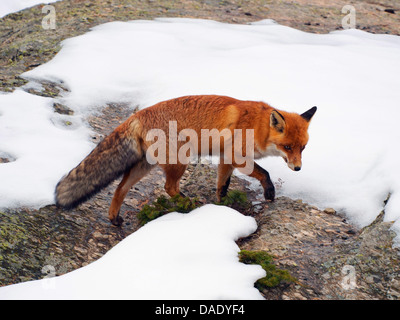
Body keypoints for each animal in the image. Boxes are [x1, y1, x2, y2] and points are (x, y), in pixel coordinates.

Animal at [55, 95, 316, 225]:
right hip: (180, 161)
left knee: (120, 188)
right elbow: (264, 173)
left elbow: (222, 186)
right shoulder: (238, 157)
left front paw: (222, 207)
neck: (258, 126)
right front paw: (269, 192)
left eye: (303, 148)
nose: (298, 168)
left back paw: (114, 218)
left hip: (145, 165)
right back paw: (188, 203)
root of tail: (137, 114)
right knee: (169, 187)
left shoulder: (226, 158)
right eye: (287, 147)